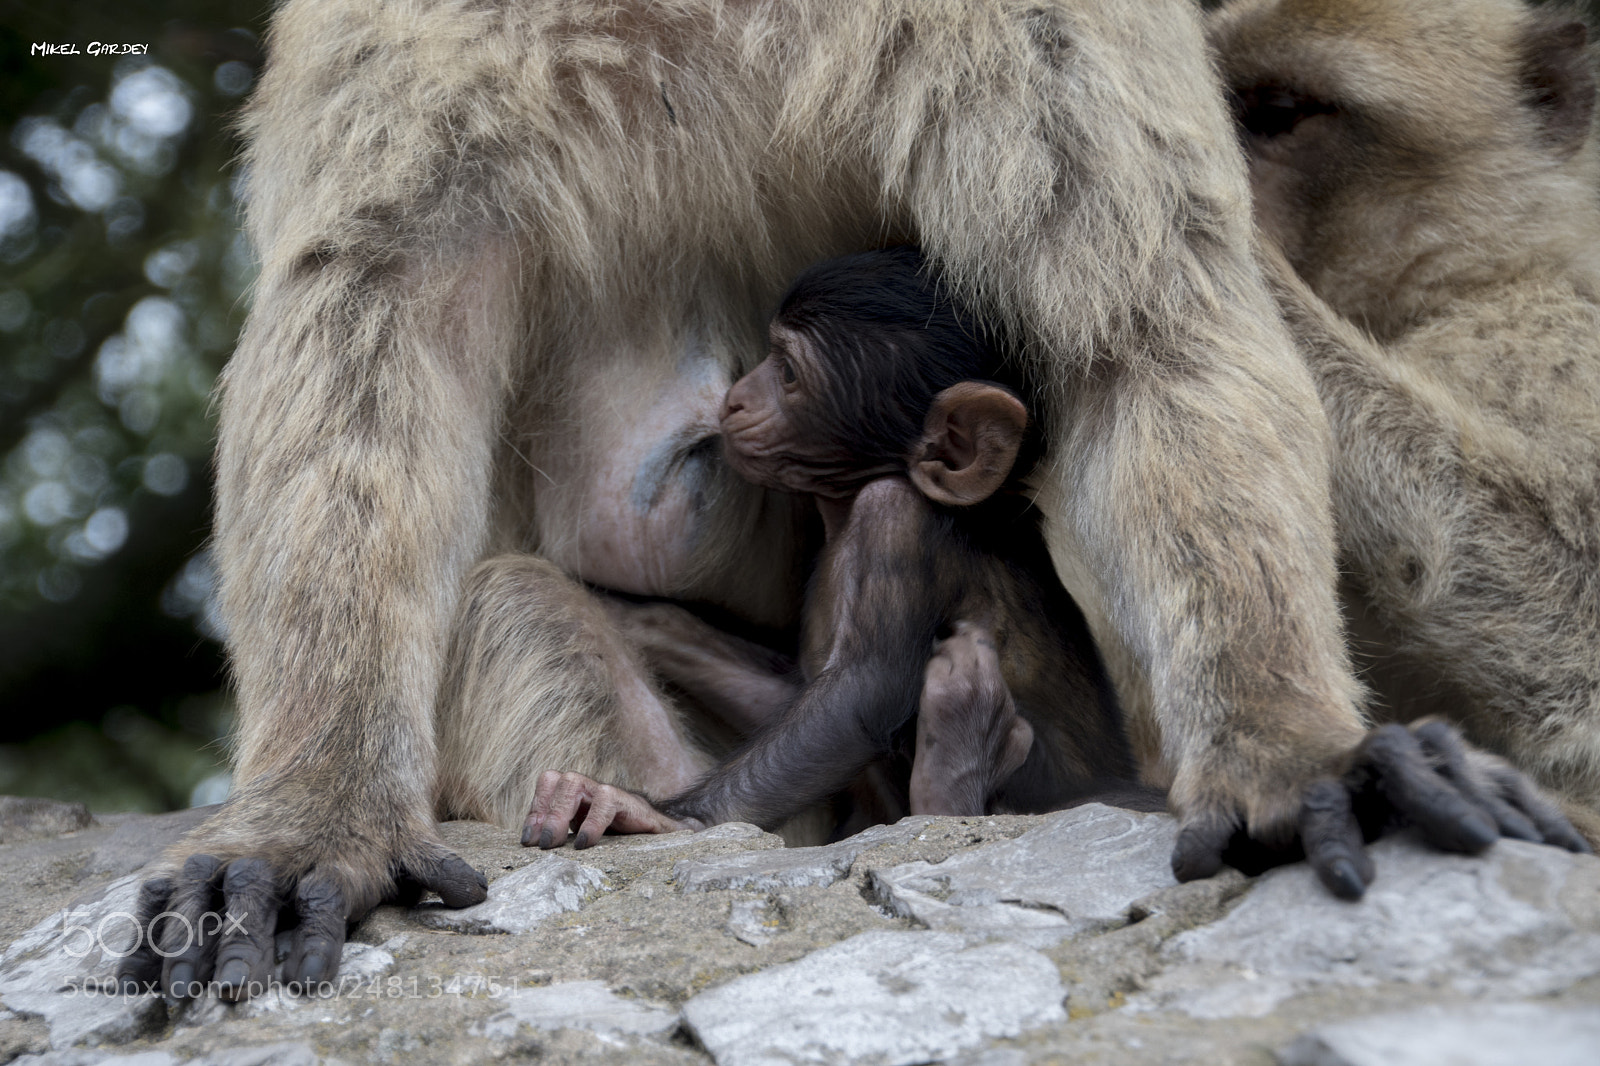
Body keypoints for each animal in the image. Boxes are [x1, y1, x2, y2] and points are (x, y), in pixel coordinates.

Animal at [528, 246, 1159, 844]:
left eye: (786, 371)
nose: (733, 398)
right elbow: (786, 694)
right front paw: (628, 614)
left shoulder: (895, 517)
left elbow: (858, 694)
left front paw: (660, 815)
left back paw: (956, 760)